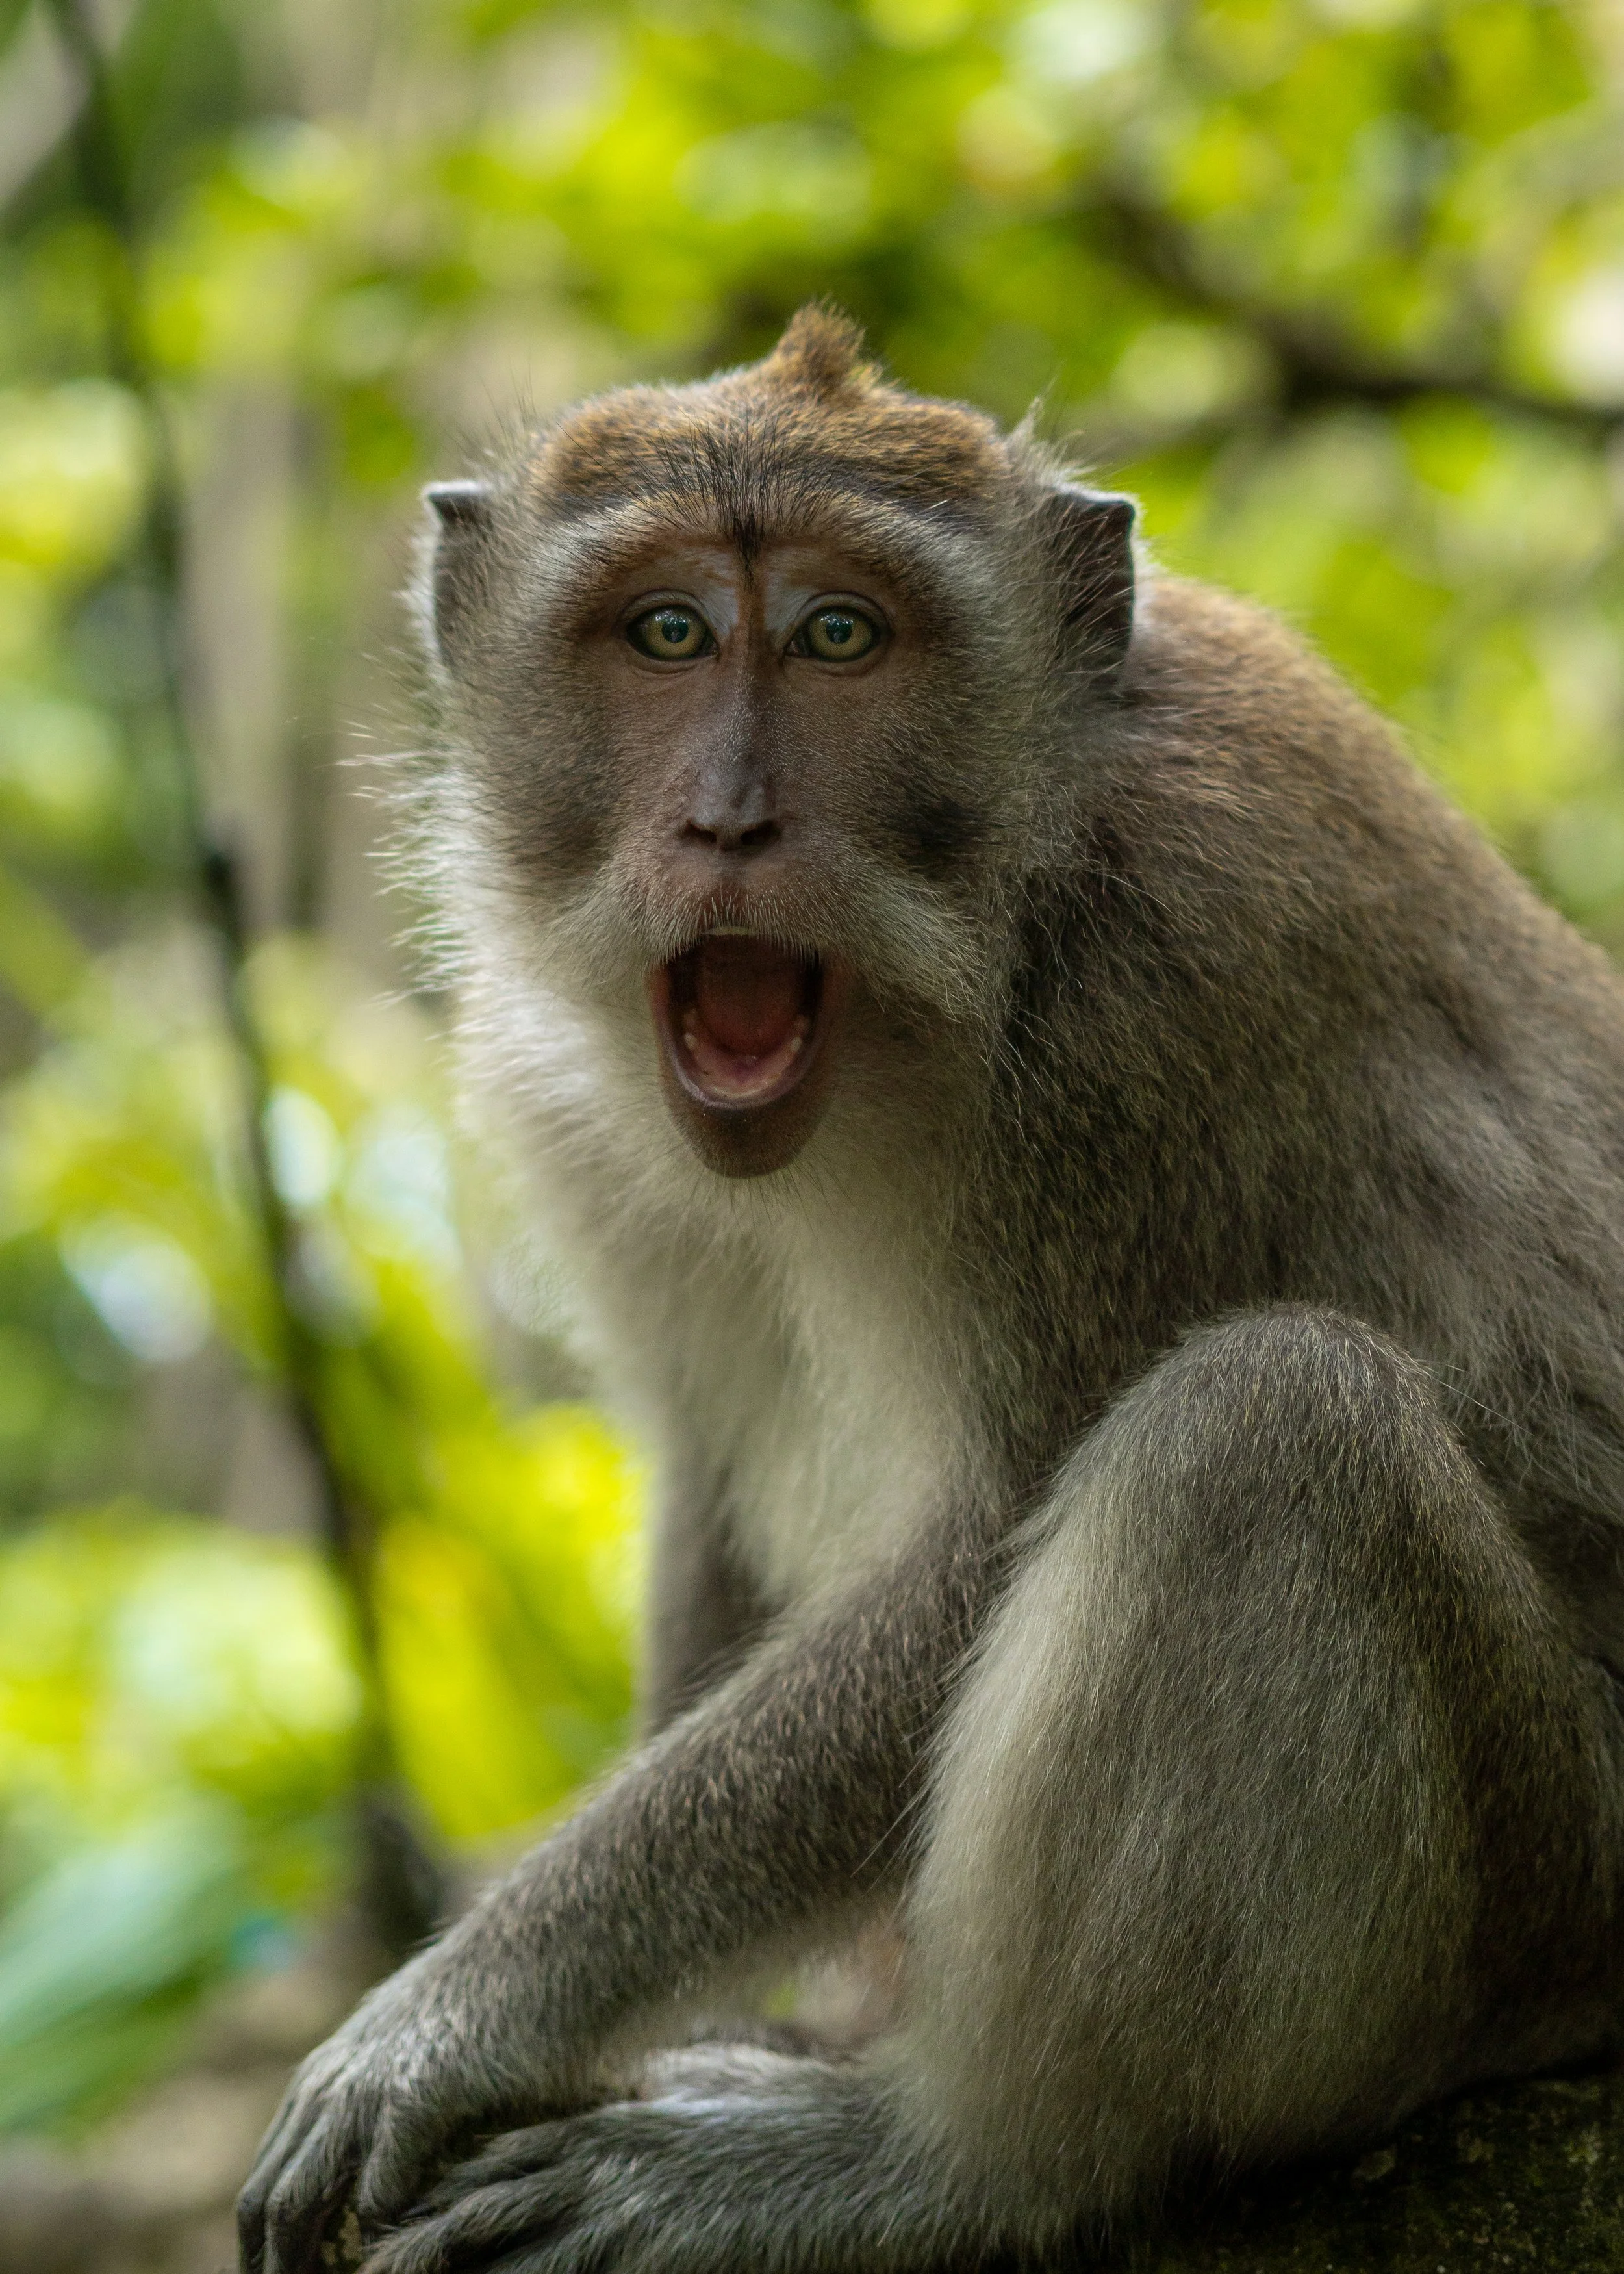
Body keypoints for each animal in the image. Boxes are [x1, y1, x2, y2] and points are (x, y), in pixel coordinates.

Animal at [238, 305, 1624, 2274]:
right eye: (666, 632)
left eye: (842, 634)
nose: (728, 823)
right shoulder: (562, 1091)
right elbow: (716, 1475)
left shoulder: (1166, 1003)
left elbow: (988, 1536)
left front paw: (460, 2011)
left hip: (1547, 1883)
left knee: (1268, 1431)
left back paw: (944, 2161)